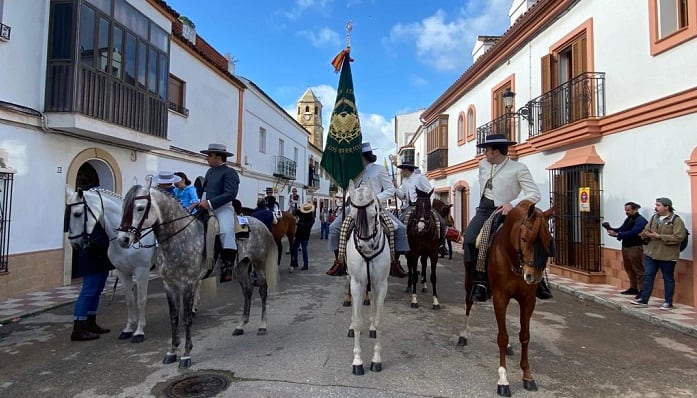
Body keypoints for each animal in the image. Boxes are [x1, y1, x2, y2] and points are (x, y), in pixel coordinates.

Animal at [64, 189, 156, 342]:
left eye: (77, 214)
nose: (75, 244)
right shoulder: (122, 272)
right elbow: (130, 300)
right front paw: (128, 329)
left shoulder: (142, 271)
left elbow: (141, 300)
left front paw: (139, 331)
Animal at [460, 201, 552, 396]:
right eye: (524, 238)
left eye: (548, 240)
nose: (533, 276)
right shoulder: (500, 297)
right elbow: (502, 336)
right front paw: (503, 379)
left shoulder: (528, 300)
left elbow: (525, 336)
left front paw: (527, 376)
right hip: (469, 283)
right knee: (468, 304)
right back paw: (463, 335)